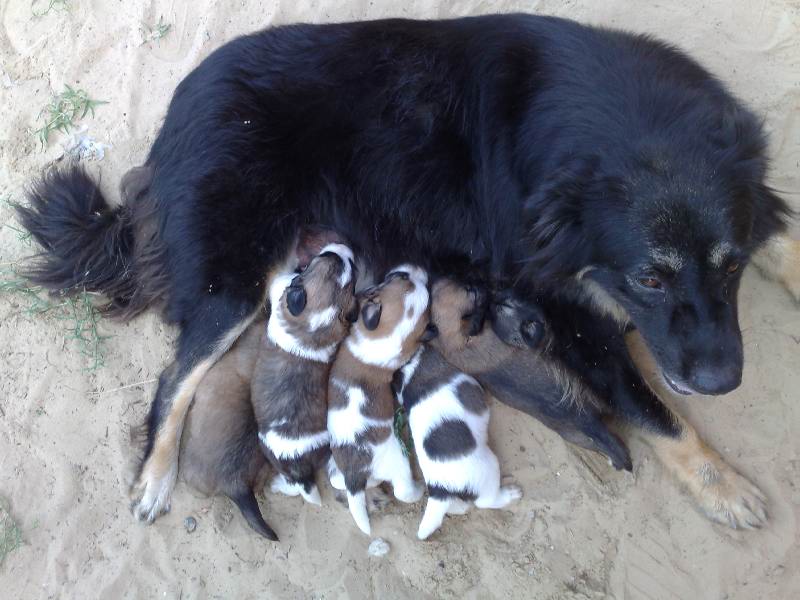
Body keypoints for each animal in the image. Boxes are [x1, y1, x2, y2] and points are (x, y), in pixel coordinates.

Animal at [328, 266, 434, 536]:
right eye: (401, 278)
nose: (417, 269)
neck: (382, 335)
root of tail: (356, 473)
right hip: (398, 465)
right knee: (404, 491)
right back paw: (419, 489)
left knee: (340, 481)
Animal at [396, 282, 520, 540]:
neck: (411, 372)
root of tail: (442, 490)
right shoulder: (472, 388)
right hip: (489, 468)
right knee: (486, 502)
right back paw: (509, 495)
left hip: (448, 497)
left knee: (455, 506)